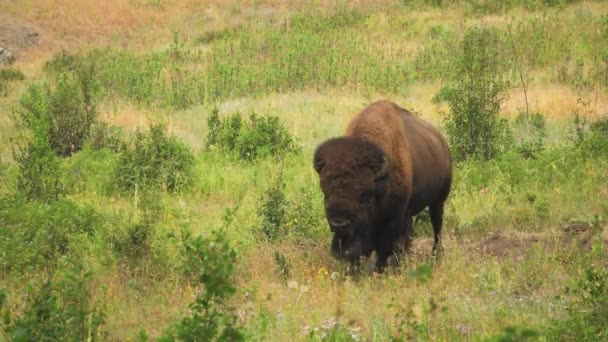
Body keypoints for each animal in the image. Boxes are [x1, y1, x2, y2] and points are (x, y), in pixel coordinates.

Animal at [314, 100, 452, 272]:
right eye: (325, 192)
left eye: (365, 195)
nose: (339, 224)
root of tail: (443, 143)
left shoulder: (394, 217)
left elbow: (386, 247)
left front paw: (380, 270)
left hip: (438, 200)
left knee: (436, 226)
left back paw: (435, 256)